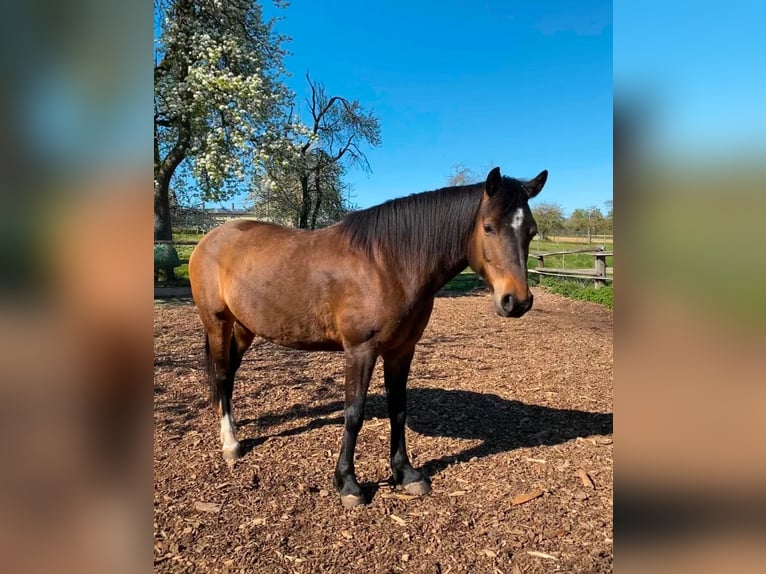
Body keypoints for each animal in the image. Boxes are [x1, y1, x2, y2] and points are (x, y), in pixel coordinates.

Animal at [192, 166, 552, 508]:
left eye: (531, 231)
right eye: (488, 227)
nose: (516, 301)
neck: (388, 264)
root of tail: (211, 237)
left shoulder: (401, 351)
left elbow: (399, 409)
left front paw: (406, 474)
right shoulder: (360, 351)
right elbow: (354, 414)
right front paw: (348, 484)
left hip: (245, 326)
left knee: (230, 373)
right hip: (217, 323)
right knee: (222, 374)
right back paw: (231, 444)